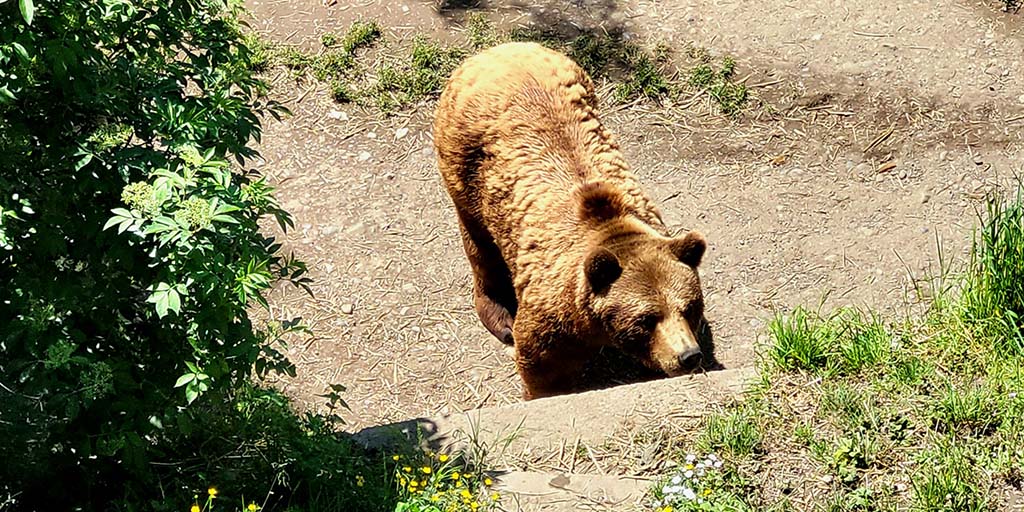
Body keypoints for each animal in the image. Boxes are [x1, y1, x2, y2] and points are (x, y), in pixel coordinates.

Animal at [430, 41, 704, 399]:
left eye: (690, 306)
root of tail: (496, 50)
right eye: (647, 318)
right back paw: (500, 316)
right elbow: (541, 364)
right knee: (479, 243)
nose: (689, 355)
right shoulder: (554, 315)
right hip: (464, 161)